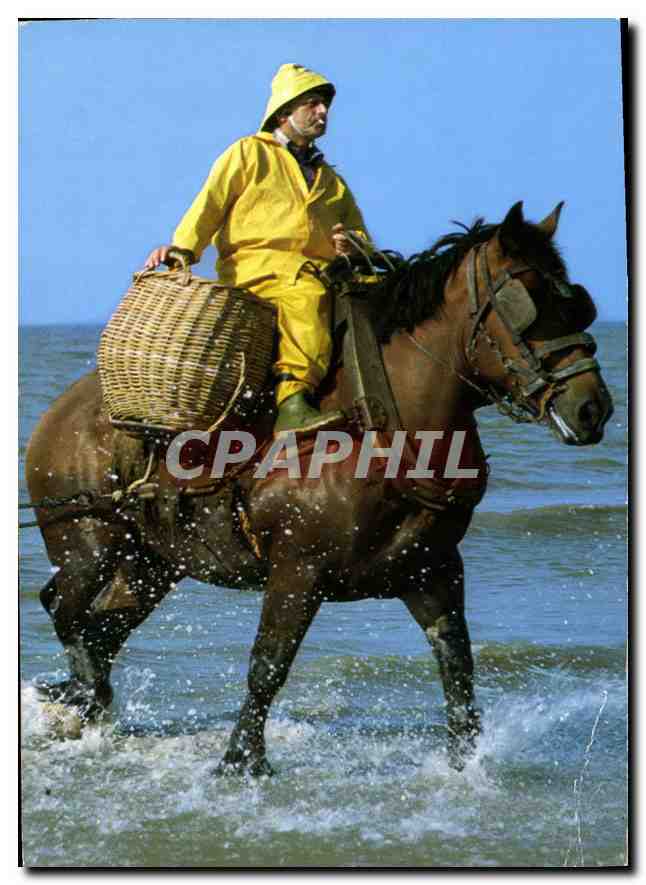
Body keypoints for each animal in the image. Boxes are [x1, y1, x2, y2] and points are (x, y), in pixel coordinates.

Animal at [24, 201, 613, 775]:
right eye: (531, 305)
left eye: (579, 305)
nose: (594, 407)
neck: (379, 427)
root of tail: (60, 411)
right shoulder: (297, 572)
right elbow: (268, 665)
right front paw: (241, 760)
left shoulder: (434, 572)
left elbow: (458, 667)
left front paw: (463, 762)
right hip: (88, 544)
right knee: (63, 609)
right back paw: (82, 693)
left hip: (151, 564)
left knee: (102, 626)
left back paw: (84, 700)